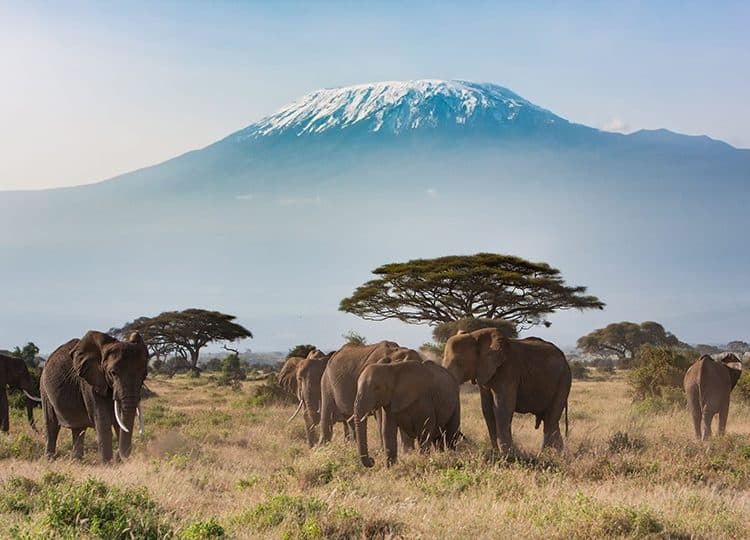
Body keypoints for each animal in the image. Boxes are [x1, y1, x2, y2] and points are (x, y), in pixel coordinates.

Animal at [40, 331, 149, 463]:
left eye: (144, 374)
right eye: (113, 373)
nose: (118, 455)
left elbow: (118, 421)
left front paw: (118, 461)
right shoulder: (90, 383)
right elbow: (103, 421)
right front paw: (108, 464)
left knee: (78, 429)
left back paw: (76, 461)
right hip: (44, 389)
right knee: (52, 426)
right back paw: (49, 460)